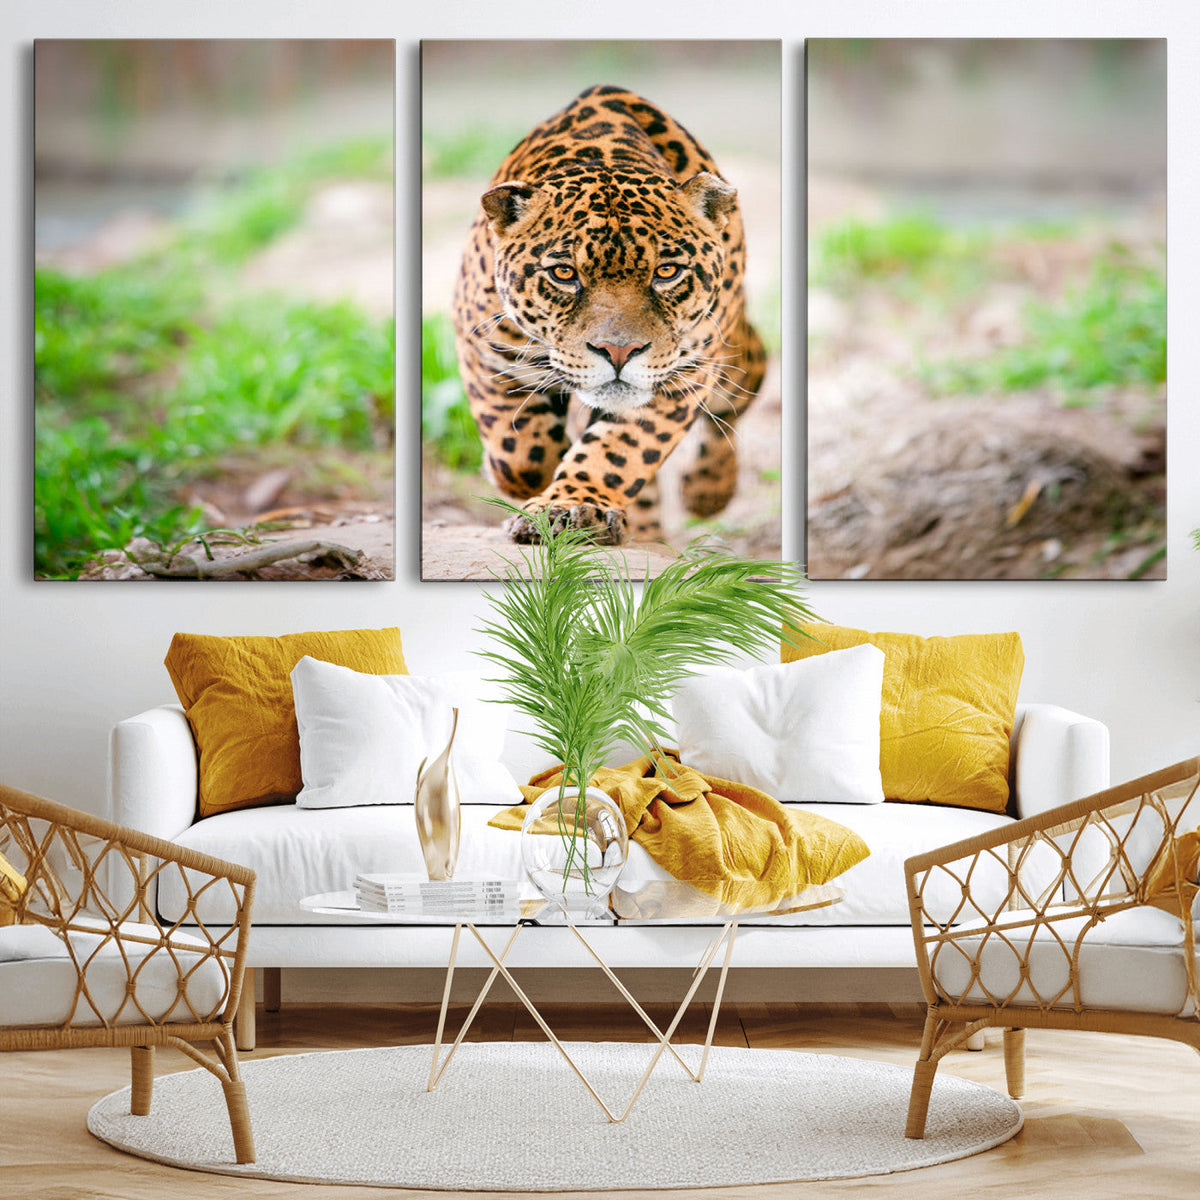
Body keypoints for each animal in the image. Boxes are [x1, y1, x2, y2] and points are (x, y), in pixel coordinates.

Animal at [451, 84, 767, 546]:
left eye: (666, 272)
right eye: (564, 273)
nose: (619, 352)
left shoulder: (682, 376)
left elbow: (620, 450)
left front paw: (571, 505)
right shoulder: (485, 348)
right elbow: (519, 452)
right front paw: (531, 483)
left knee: (741, 389)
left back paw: (707, 490)